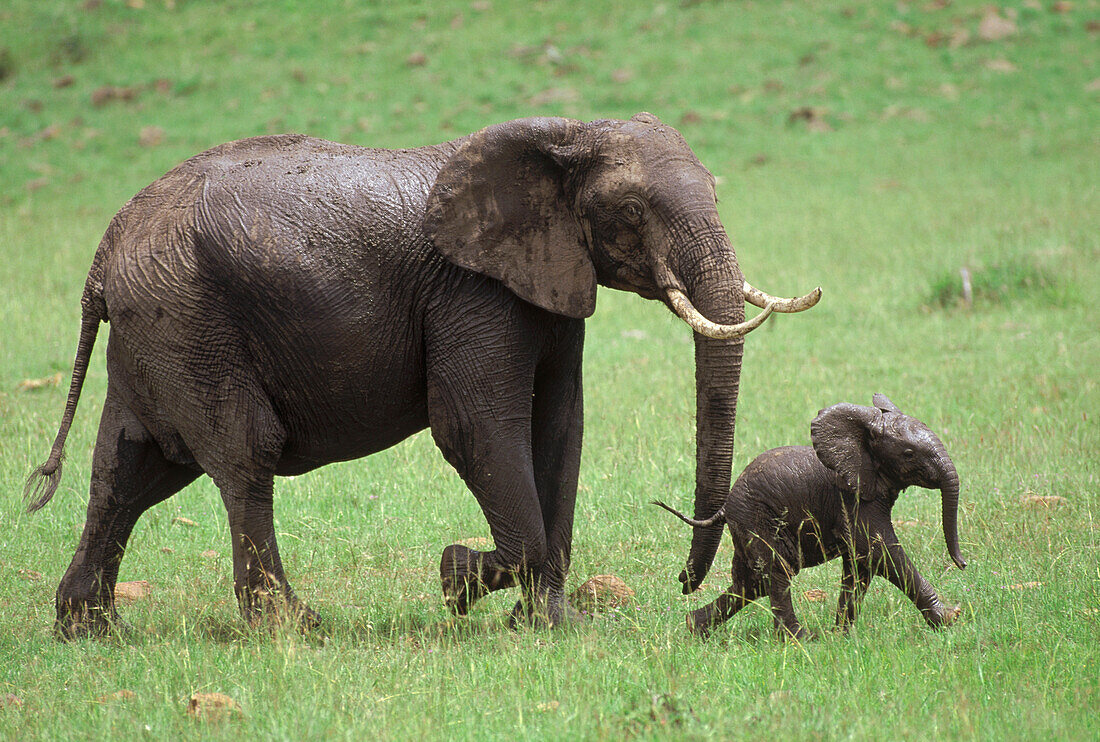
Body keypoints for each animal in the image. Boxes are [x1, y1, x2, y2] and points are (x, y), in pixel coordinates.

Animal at [25, 111, 822, 637]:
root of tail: (104, 250)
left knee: (129, 469)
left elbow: (559, 427)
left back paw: (88, 630)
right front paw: (456, 580)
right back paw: (292, 628)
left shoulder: (549, 281)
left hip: (160, 329)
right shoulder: (472, 291)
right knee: (244, 456)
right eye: (629, 208)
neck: (563, 132)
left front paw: (546, 623)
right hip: (191, 321)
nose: (683, 582)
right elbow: (476, 426)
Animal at [651, 395, 963, 646]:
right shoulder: (852, 499)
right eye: (909, 454)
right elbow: (879, 550)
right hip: (756, 515)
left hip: (747, 523)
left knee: (752, 580)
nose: (962, 564)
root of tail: (726, 505)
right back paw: (799, 640)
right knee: (778, 570)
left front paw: (841, 637)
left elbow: (860, 563)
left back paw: (695, 627)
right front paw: (950, 619)